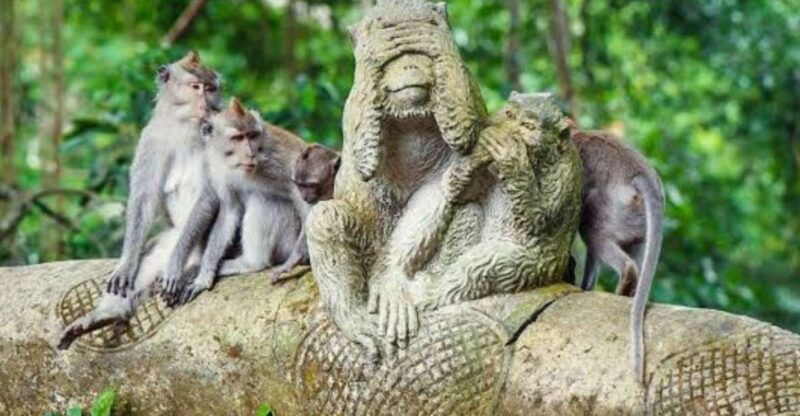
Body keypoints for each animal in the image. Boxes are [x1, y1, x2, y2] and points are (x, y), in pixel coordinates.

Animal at [57, 51, 222, 350]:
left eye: (211, 88)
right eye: (195, 87)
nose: (206, 104)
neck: (185, 127)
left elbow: (209, 196)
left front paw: (174, 267)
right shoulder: (151, 138)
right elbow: (143, 200)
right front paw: (125, 264)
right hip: (170, 237)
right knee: (150, 257)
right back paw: (107, 314)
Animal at [161, 98, 313, 306]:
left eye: (252, 136)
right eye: (238, 138)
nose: (250, 154)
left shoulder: (277, 160)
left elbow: (302, 195)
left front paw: (298, 256)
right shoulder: (218, 169)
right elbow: (229, 211)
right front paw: (204, 277)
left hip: (288, 241)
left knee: (264, 200)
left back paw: (252, 263)